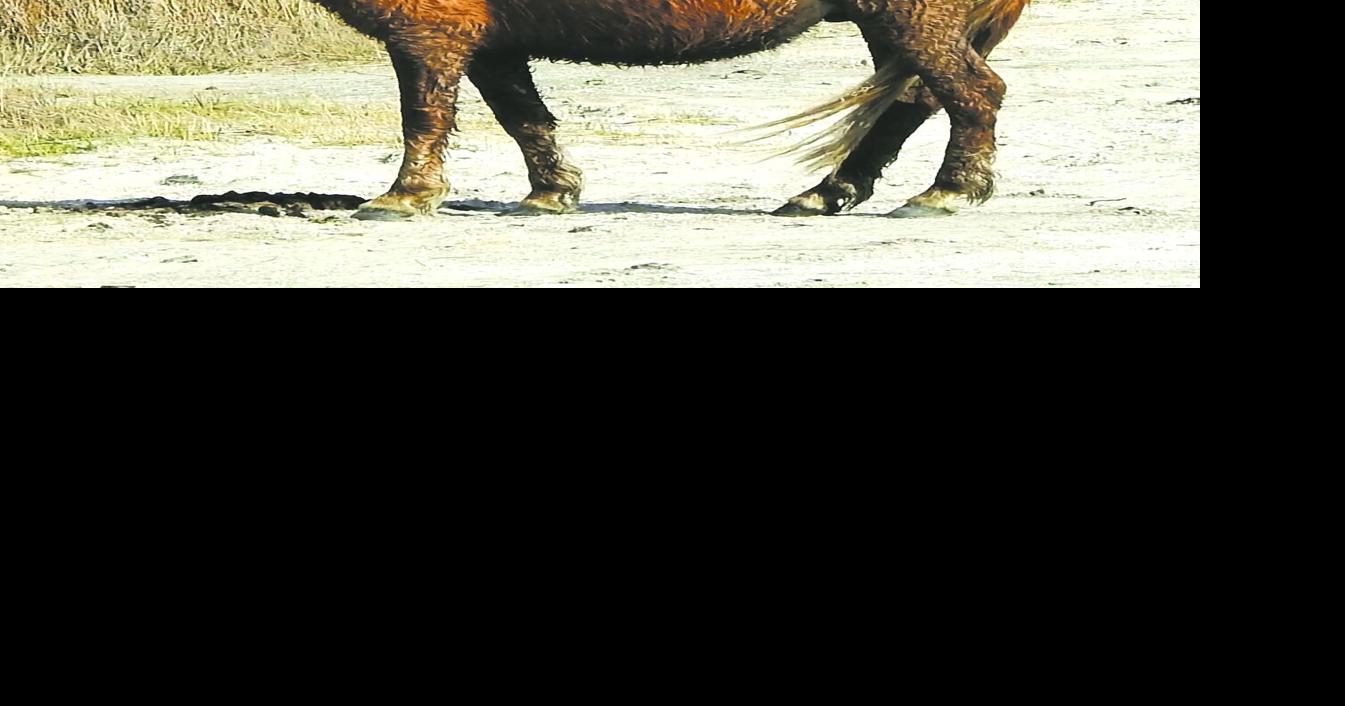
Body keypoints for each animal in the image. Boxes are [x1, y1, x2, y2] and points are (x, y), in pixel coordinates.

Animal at [311, 0, 1030, 220]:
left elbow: (422, 117)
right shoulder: (491, 44)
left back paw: (949, 190)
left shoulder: (430, 35)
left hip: (914, 19)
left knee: (971, 94)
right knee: (913, 103)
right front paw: (552, 192)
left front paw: (405, 196)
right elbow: (525, 118)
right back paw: (827, 193)